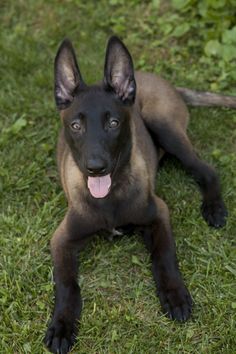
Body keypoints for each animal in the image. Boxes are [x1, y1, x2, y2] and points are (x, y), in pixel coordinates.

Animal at [43, 35, 234, 352]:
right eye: (76, 125)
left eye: (113, 123)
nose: (96, 167)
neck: (110, 199)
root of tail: (159, 80)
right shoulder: (62, 239)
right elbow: (67, 283)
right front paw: (62, 325)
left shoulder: (158, 214)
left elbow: (164, 255)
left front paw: (174, 294)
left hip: (163, 124)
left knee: (206, 170)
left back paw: (214, 208)